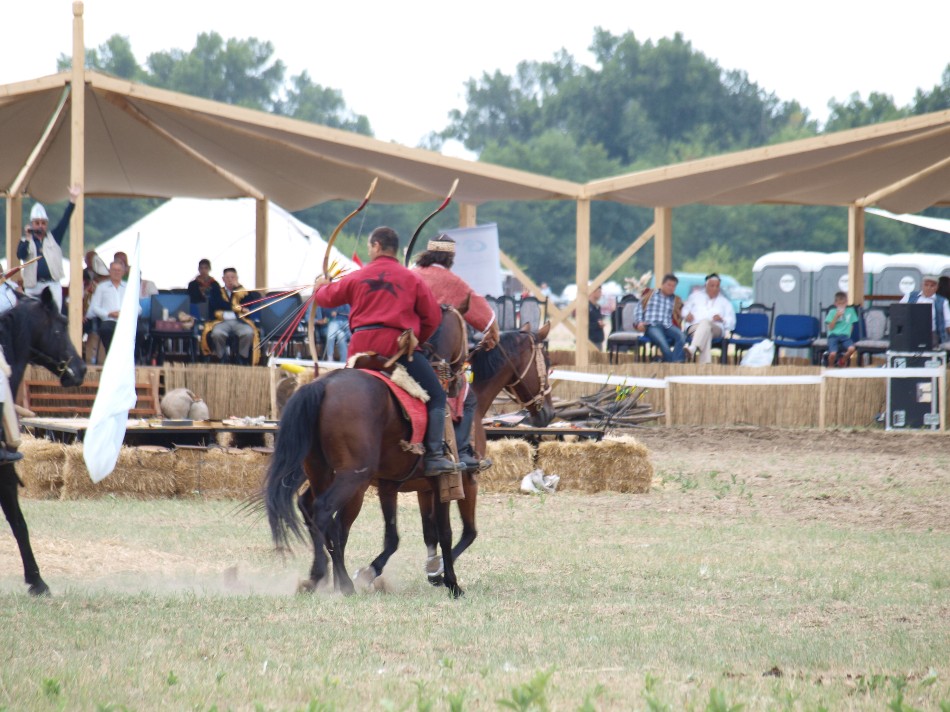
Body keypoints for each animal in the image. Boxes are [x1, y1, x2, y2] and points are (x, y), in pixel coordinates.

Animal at [263, 306, 470, 597]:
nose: (460, 381)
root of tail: (323, 385)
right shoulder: (442, 484)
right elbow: (445, 533)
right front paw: (452, 583)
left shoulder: (389, 485)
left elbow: (393, 537)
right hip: (354, 478)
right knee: (326, 514)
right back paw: (338, 580)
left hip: (321, 472)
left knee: (313, 511)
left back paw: (320, 576)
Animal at [337, 322, 555, 591]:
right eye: (546, 360)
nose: (548, 412)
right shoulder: (466, 483)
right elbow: (467, 532)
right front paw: (440, 569)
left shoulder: (423, 489)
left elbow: (428, 532)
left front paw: (432, 567)